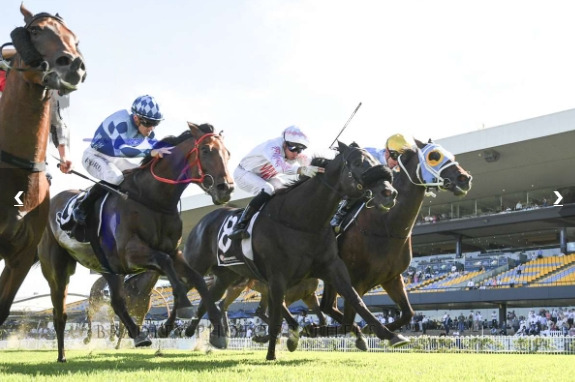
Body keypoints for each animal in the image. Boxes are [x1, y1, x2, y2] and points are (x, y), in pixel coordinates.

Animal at [38, 123, 234, 362]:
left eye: (227, 153)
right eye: (206, 150)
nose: (226, 188)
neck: (152, 199)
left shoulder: (173, 252)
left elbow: (197, 278)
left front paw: (217, 331)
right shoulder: (130, 254)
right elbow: (164, 263)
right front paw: (186, 306)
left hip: (107, 268)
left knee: (116, 302)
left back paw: (139, 336)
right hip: (57, 270)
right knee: (60, 312)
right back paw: (62, 355)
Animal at [180, 142, 404, 360]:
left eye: (374, 160)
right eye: (357, 163)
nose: (389, 193)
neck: (301, 220)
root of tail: (202, 221)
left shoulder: (331, 267)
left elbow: (355, 299)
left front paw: (390, 335)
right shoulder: (277, 276)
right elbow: (277, 314)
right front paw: (272, 354)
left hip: (227, 276)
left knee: (209, 298)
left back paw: (200, 332)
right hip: (198, 266)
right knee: (187, 286)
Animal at [320, 138, 472, 350]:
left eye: (452, 155)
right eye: (434, 156)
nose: (464, 178)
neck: (386, 225)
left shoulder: (392, 278)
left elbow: (408, 312)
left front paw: (375, 330)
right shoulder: (355, 280)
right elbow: (354, 312)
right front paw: (376, 331)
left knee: (327, 306)